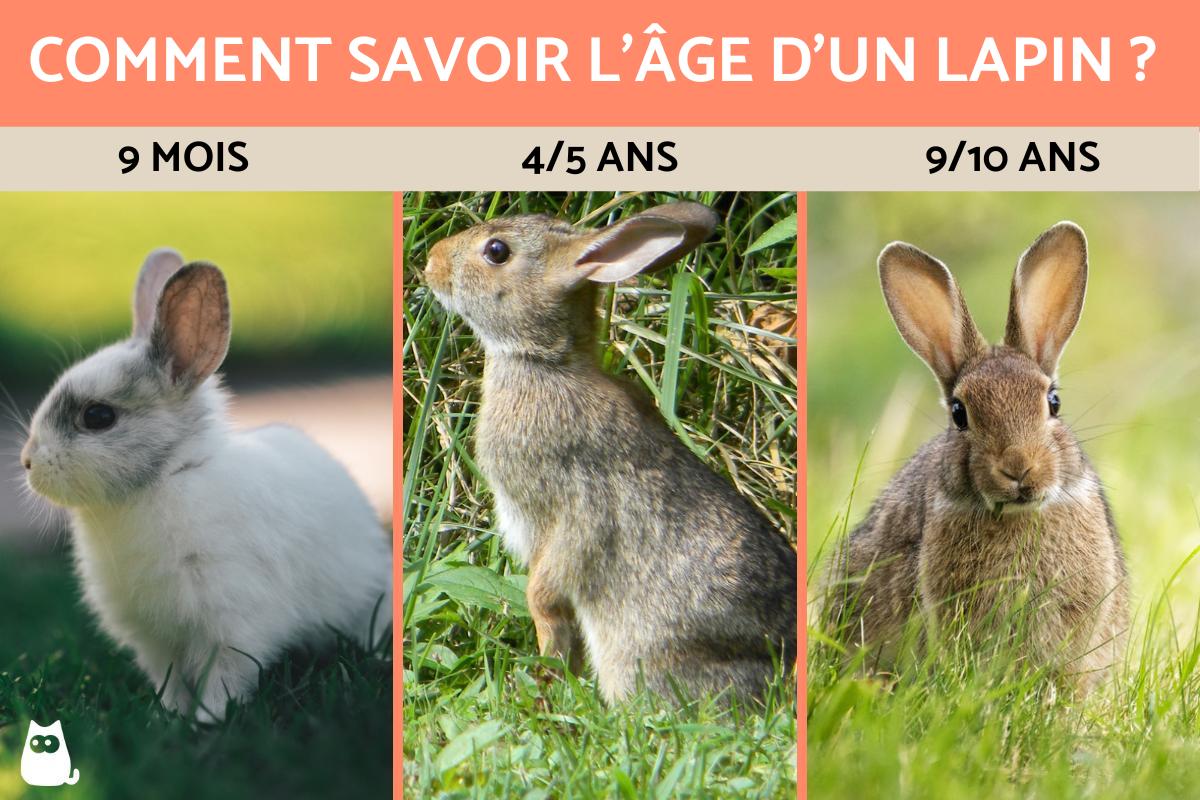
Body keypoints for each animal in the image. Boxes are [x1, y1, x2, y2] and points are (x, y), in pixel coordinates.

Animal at [20, 249, 392, 722]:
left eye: (98, 417)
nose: (27, 462)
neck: (166, 477)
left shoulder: (231, 624)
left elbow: (224, 678)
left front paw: (209, 720)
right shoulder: (155, 639)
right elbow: (170, 679)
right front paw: (169, 717)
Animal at [422, 200, 797, 704]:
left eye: (497, 251)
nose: (431, 263)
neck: (545, 363)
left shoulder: (576, 508)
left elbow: (547, 595)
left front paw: (549, 677)